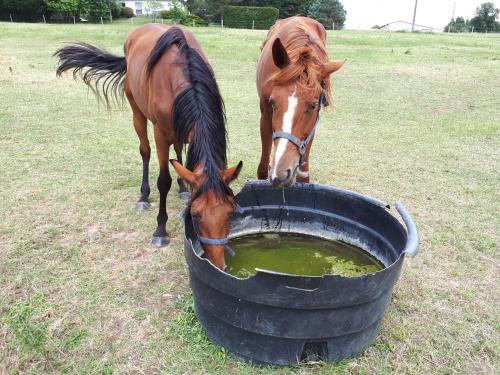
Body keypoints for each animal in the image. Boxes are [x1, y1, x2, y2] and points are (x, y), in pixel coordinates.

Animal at [54, 24, 242, 270]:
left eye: (230, 213)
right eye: (196, 215)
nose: (218, 264)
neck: (182, 75)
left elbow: (183, 162)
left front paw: (184, 188)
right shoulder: (160, 133)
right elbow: (163, 180)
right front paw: (160, 230)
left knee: (177, 151)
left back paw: (182, 188)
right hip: (137, 112)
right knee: (145, 151)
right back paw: (143, 197)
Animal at [256, 16, 346, 187]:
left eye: (313, 106)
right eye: (273, 102)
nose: (280, 173)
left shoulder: (312, 124)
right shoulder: (265, 115)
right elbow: (263, 166)